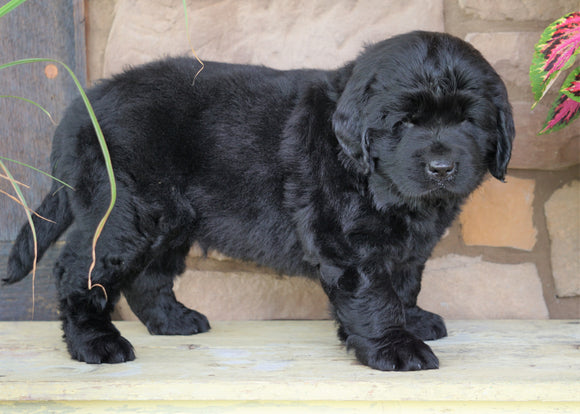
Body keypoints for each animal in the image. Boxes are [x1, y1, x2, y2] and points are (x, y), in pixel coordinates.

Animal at [4, 30, 512, 370]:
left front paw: (413, 321)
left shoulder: (406, 247)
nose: (442, 168)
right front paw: (396, 347)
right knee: (79, 270)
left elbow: (404, 283)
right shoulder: (350, 243)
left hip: (170, 217)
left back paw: (175, 320)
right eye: (404, 121)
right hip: (127, 211)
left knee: (148, 276)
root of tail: (78, 108)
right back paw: (95, 344)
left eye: (468, 120)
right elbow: (376, 294)